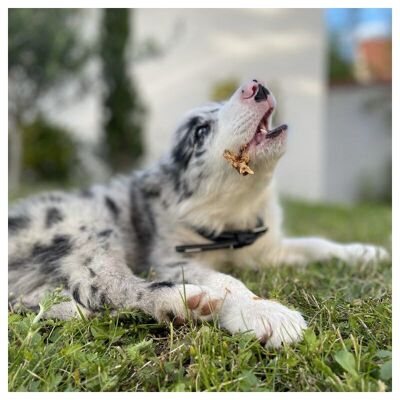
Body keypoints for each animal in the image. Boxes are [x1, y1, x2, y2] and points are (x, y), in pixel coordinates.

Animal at [7, 79, 390, 346]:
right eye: (200, 131)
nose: (256, 86)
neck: (234, 214)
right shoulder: (170, 259)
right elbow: (227, 281)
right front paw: (263, 310)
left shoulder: (268, 246)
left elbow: (316, 243)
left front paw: (364, 252)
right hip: (84, 227)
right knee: (106, 288)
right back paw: (181, 301)